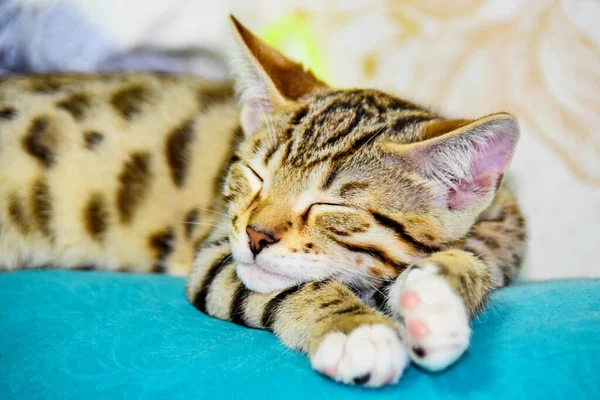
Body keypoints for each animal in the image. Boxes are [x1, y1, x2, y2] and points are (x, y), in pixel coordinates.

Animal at [0, 16, 524, 388]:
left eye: (331, 206)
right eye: (255, 177)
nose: (256, 234)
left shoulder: (508, 232)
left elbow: (478, 260)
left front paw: (435, 299)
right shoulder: (215, 252)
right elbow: (289, 288)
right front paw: (357, 329)